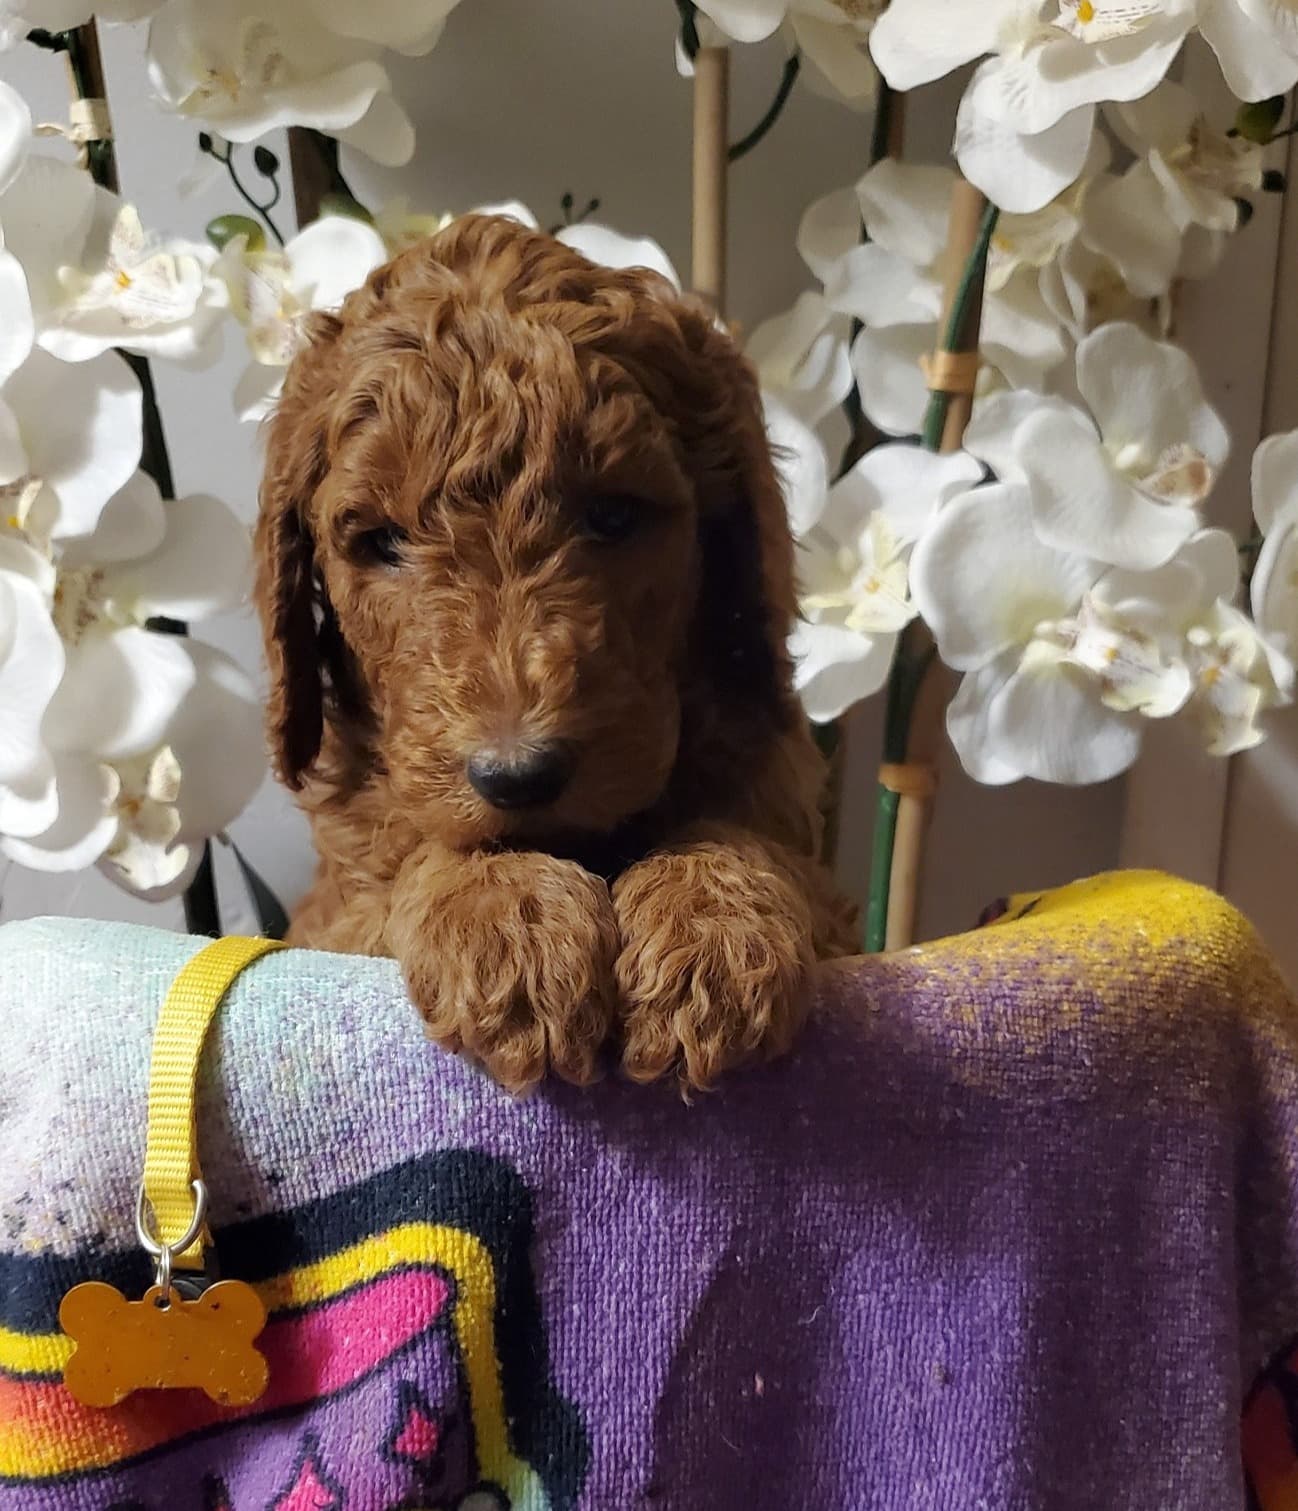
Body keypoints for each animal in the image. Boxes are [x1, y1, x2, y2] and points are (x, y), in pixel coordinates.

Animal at [256, 210, 858, 1087]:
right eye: (382, 542)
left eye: (613, 515)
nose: (518, 773)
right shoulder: (332, 917)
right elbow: (415, 858)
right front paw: (509, 923)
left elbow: (750, 837)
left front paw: (713, 930)